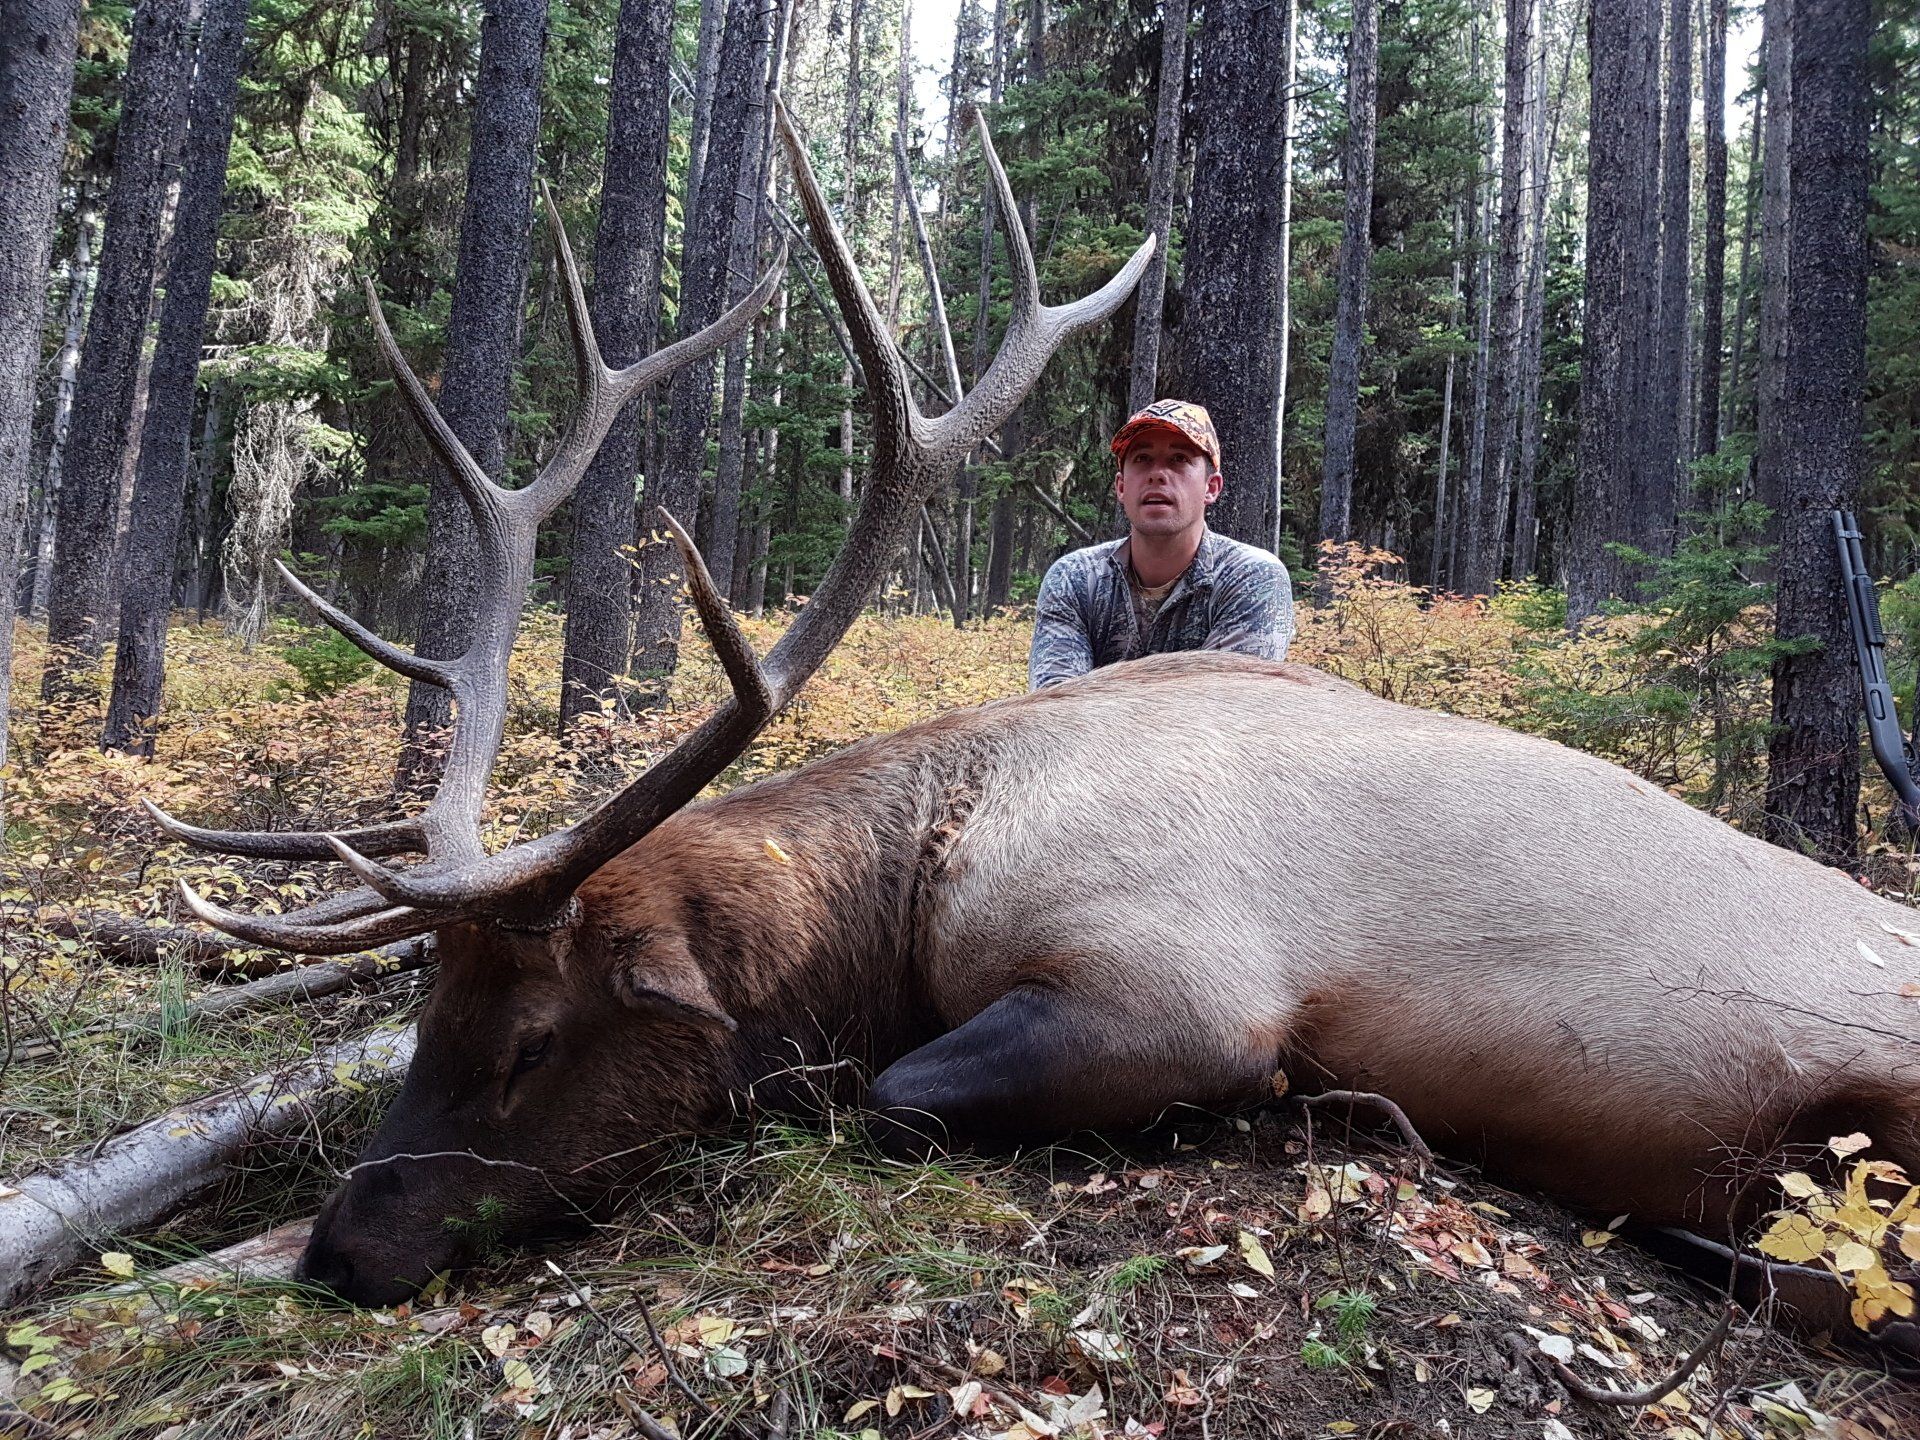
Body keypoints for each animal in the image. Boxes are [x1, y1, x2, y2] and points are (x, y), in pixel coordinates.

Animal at [149, 105, 1920, 1331]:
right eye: (424, 1020)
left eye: (530, 1039)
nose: (343, 1247)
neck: (912, 887)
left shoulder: (1178, 986)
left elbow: (870, 1096)